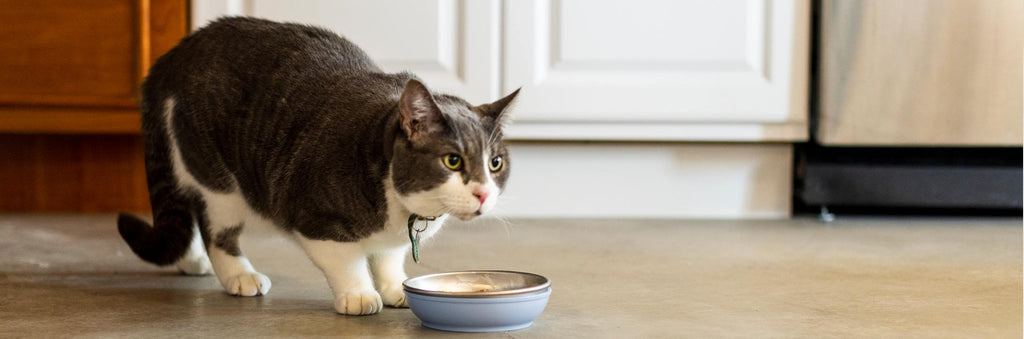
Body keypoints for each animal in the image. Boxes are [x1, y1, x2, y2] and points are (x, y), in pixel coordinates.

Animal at [117, 17, 520, 315]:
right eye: (452, 160)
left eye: (495, 163)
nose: (483, 194)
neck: (402, 206)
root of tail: (177, 52)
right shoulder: (315, 220)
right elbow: (346, 261)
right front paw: (359, 295)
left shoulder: (391, 239)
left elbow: (388, 258)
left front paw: (394, 288)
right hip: (219, 181)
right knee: (215, 228)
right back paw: (239, 275)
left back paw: (191, 260)